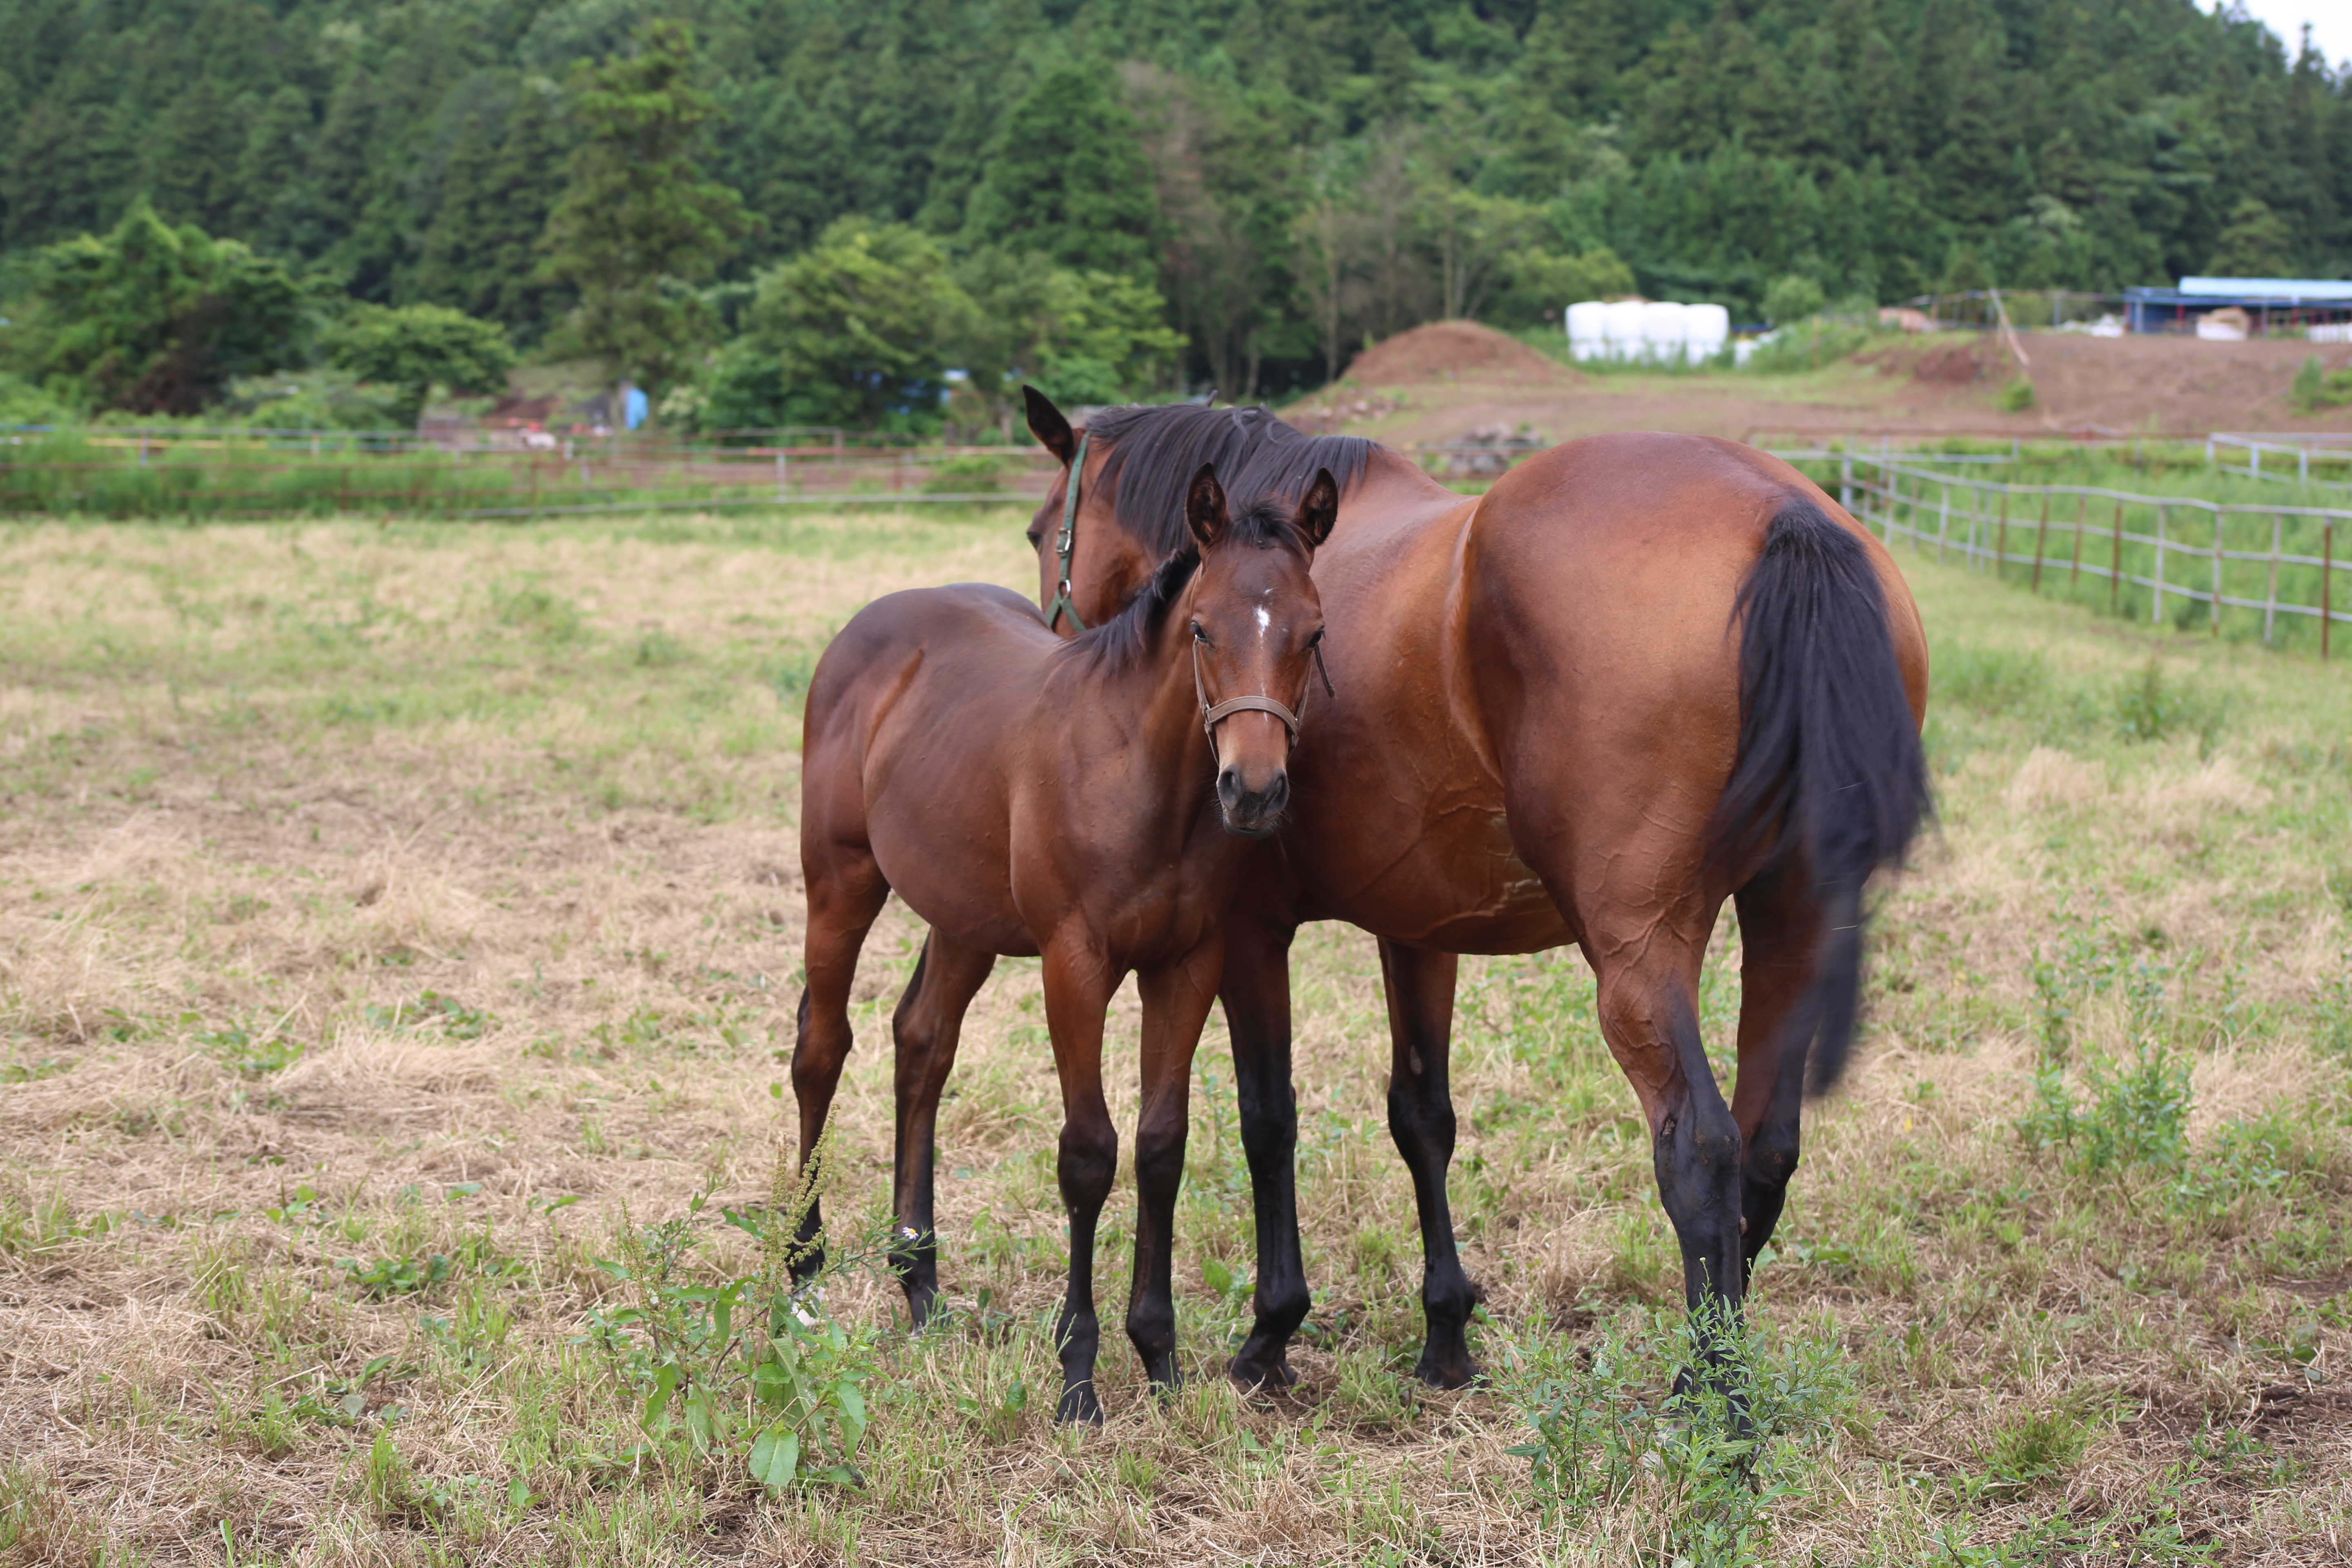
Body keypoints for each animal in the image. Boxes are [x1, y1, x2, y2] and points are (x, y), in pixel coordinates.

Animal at [790, 461, 1345, 1420]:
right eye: (1203, 627)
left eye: (1311, 633)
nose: (1254, 790)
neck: (1142, 776)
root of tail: (869, 629)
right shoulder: (1074, 963)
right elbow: (1089, 1155)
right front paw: (1078, 1374)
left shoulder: (1186, 963)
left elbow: (1161, 1147)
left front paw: (1159, 1356)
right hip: (840, 884)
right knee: (821, 1049)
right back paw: (803, 1275)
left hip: (963, 915)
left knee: (921, 1045)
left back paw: (920, 1282)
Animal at [1011, 385, 1929, 1392]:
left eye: (1038, 532)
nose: (1057, 674)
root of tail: (1786, 514)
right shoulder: (1418, 926)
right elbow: (1423, 1117)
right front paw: (1445, 1332)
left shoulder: (1251, 932)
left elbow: (1268, 1119)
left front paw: (1271, 1333)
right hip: (1790, 921)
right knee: (1768, 1149)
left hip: (1641, 955)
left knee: (1703, 1150)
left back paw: (1710, 1397)